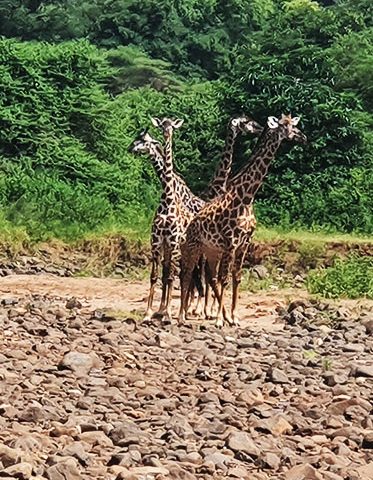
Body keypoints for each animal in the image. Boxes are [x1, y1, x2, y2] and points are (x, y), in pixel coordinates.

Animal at [179, 113, 306, 326]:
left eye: (293, 124)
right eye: (283, 126)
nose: (302, 136)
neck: (246, 197)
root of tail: (192, 222)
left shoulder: (244, 243)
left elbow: (236, 278)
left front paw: (234, 317)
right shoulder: (230, 242)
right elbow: (224, 279)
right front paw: (220, 320)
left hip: (211, 250)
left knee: (206, 276)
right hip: (194, 246)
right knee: (188, 273)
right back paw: (182, 315)